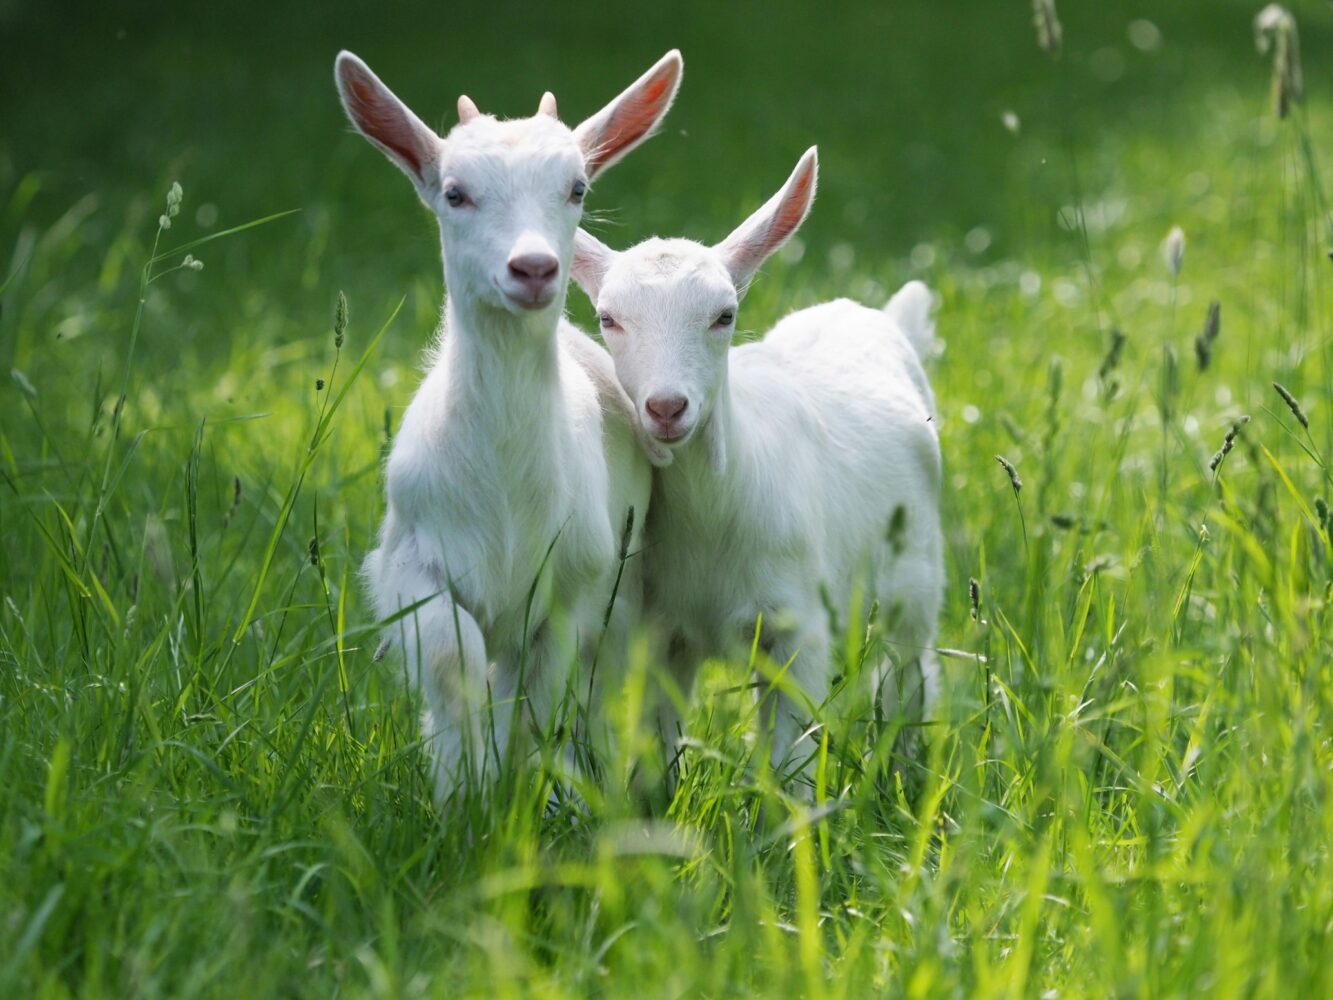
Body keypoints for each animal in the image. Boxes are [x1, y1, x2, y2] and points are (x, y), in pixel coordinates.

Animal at [334, 49, 682, 805]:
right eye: (454, 193)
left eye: (576, 188)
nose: (533, 268)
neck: (501, 492)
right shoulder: (410, 560)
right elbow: (452, 656)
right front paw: (459, 785)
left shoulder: (574, 584)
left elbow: (536, 690)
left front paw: (508, 788)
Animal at [571, 147, 943, 784]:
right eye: (607, 319)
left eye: (725, 315)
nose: (667, 407)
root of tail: (879, 317)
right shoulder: (662, 630)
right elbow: (658, 745)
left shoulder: (797, 628)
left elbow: (789, 766)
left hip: (915, 579)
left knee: (909, 674)